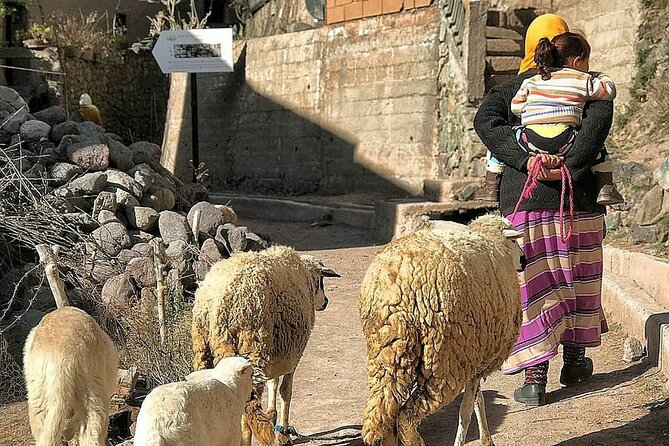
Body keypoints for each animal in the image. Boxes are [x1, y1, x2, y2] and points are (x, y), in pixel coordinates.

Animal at [192, 246, 340, 444]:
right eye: (321, 280)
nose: (325, 302)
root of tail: (218, 305)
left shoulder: (277, 351)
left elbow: (273, 382)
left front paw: (272, 415)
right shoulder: (293, 355)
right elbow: (286, 391)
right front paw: (283, 434)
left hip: (203, 348)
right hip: (251, 349)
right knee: (247, 410)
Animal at [358, 214, 524, 444]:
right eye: (514, 241)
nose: (524, 260)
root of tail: (396, 290)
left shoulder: (474, 357)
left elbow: (478, 401)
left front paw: (486, 439)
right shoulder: (475, 358)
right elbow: (466, 409)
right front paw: (477, 439)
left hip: (387, 353)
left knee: (382, 417)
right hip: (444, 360)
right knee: (406, 416)